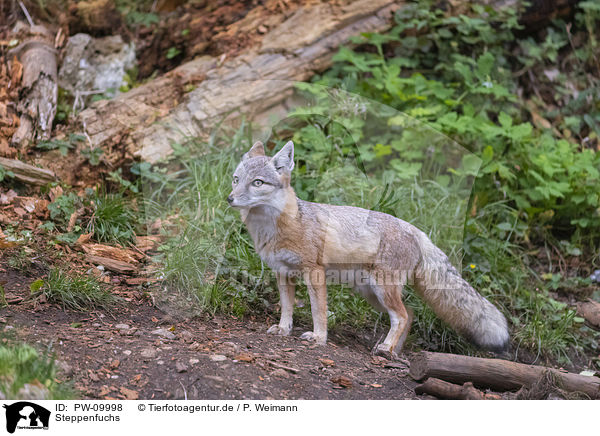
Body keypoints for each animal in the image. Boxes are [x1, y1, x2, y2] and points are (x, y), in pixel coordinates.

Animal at [227, 141, 508, 356]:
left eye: (258, 183)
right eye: (236, 180)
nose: (229, 198)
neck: (276, 227)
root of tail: (416, 230)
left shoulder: (314, 273)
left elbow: (319, 311)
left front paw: (319, 338)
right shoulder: (283, 273)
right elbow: (287, 307)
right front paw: (284, 330)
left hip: (382, 290)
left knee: (402, 316)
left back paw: (386, 348)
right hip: (372, 294)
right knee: (411, 314)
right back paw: (393, 350)